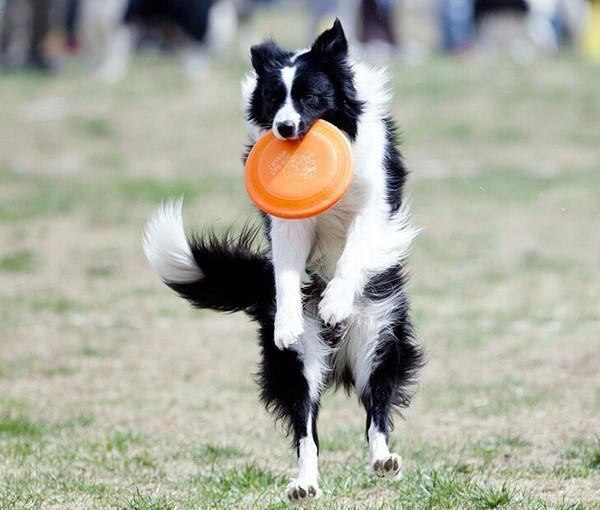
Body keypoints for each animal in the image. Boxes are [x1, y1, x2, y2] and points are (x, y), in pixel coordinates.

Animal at [80, 0, 237, 81]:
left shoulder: (122, 22)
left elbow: (115, 51)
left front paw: (110, 75)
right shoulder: (97, 24)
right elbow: (98, 51)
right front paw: (94, 71)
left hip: (188, 16)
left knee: (198, 44)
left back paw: (195, 74)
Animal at [144, 18, 424, 502]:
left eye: (310, 97)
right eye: (275, 99)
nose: (286, 128)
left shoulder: (372, 203)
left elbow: (353, 252)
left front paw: (335, 300)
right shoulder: (289, 225)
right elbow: (289, 273)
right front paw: (289, 321)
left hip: (378, 336)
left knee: (377, 407)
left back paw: (382, 459)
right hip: (299, 365)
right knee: (306, 429)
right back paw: (304, 484)